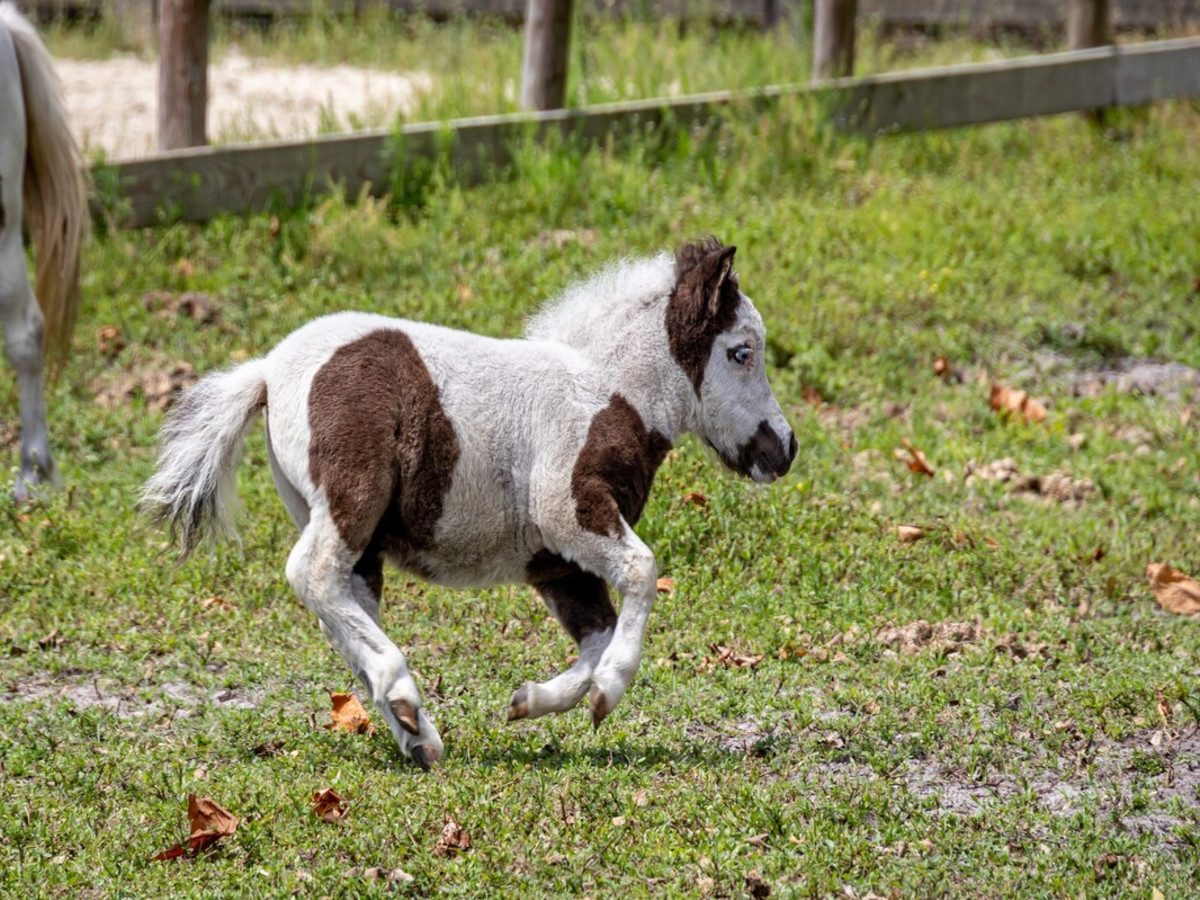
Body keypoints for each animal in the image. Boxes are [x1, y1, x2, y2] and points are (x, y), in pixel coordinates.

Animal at [144, 239, 797, 768]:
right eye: (741, 352)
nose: (784, 448)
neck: (607, 394)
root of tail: (267, 372)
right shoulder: (570, 510)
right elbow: (641, 573)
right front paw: (608, 692)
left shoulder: (557, 563)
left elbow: (596, 634)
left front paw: (530, 701)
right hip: (352, 499)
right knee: (313, 573)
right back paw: (404, 696)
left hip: (352, 532)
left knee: (343, 603)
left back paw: (417, 735)